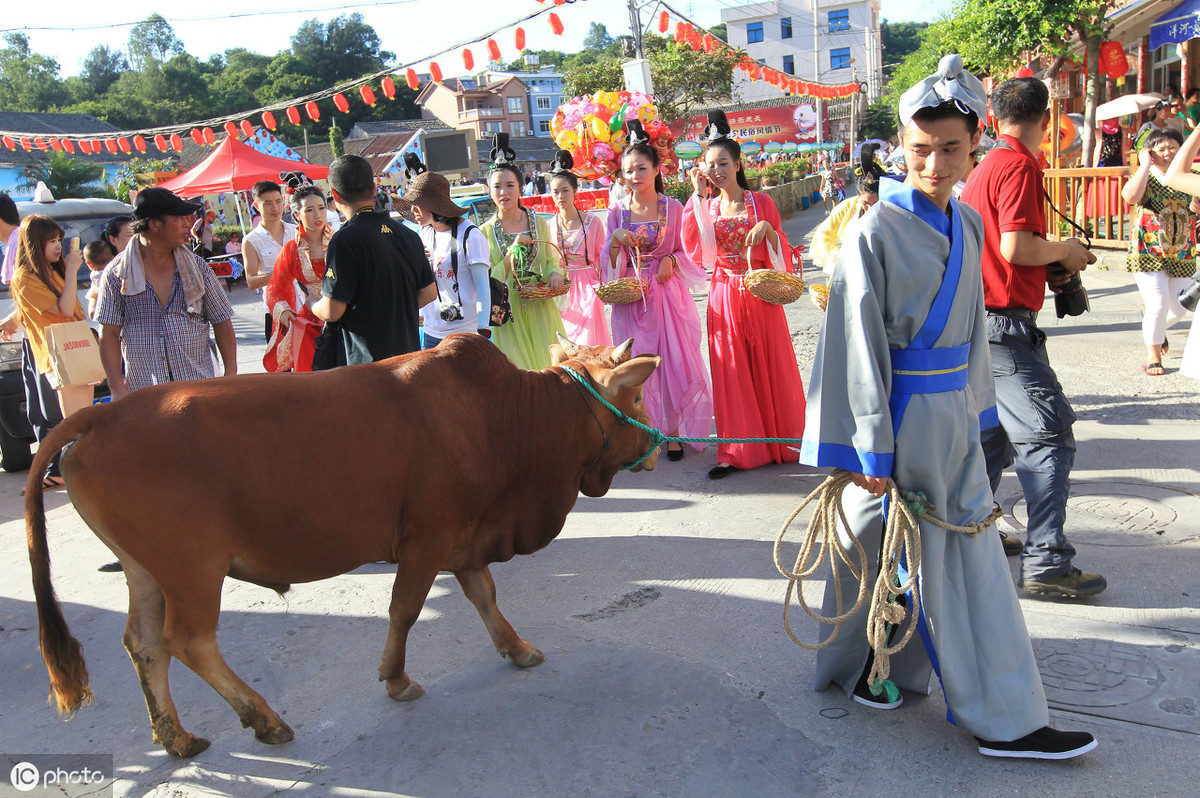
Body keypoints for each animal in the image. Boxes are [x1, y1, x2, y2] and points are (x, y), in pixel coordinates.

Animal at [28, 333, 662, 758]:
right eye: (633, 400)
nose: (657, 443)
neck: (505, 417)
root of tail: (102, 415)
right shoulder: (428, 536)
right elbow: (406, 609)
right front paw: (397, 679)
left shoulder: (465, 537)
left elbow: (484, 595)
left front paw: (517, 647)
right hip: (192, 569)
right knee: (186, 641)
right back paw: (264, 719)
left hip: (147, 571)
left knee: (144, 645)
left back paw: (177, 736)